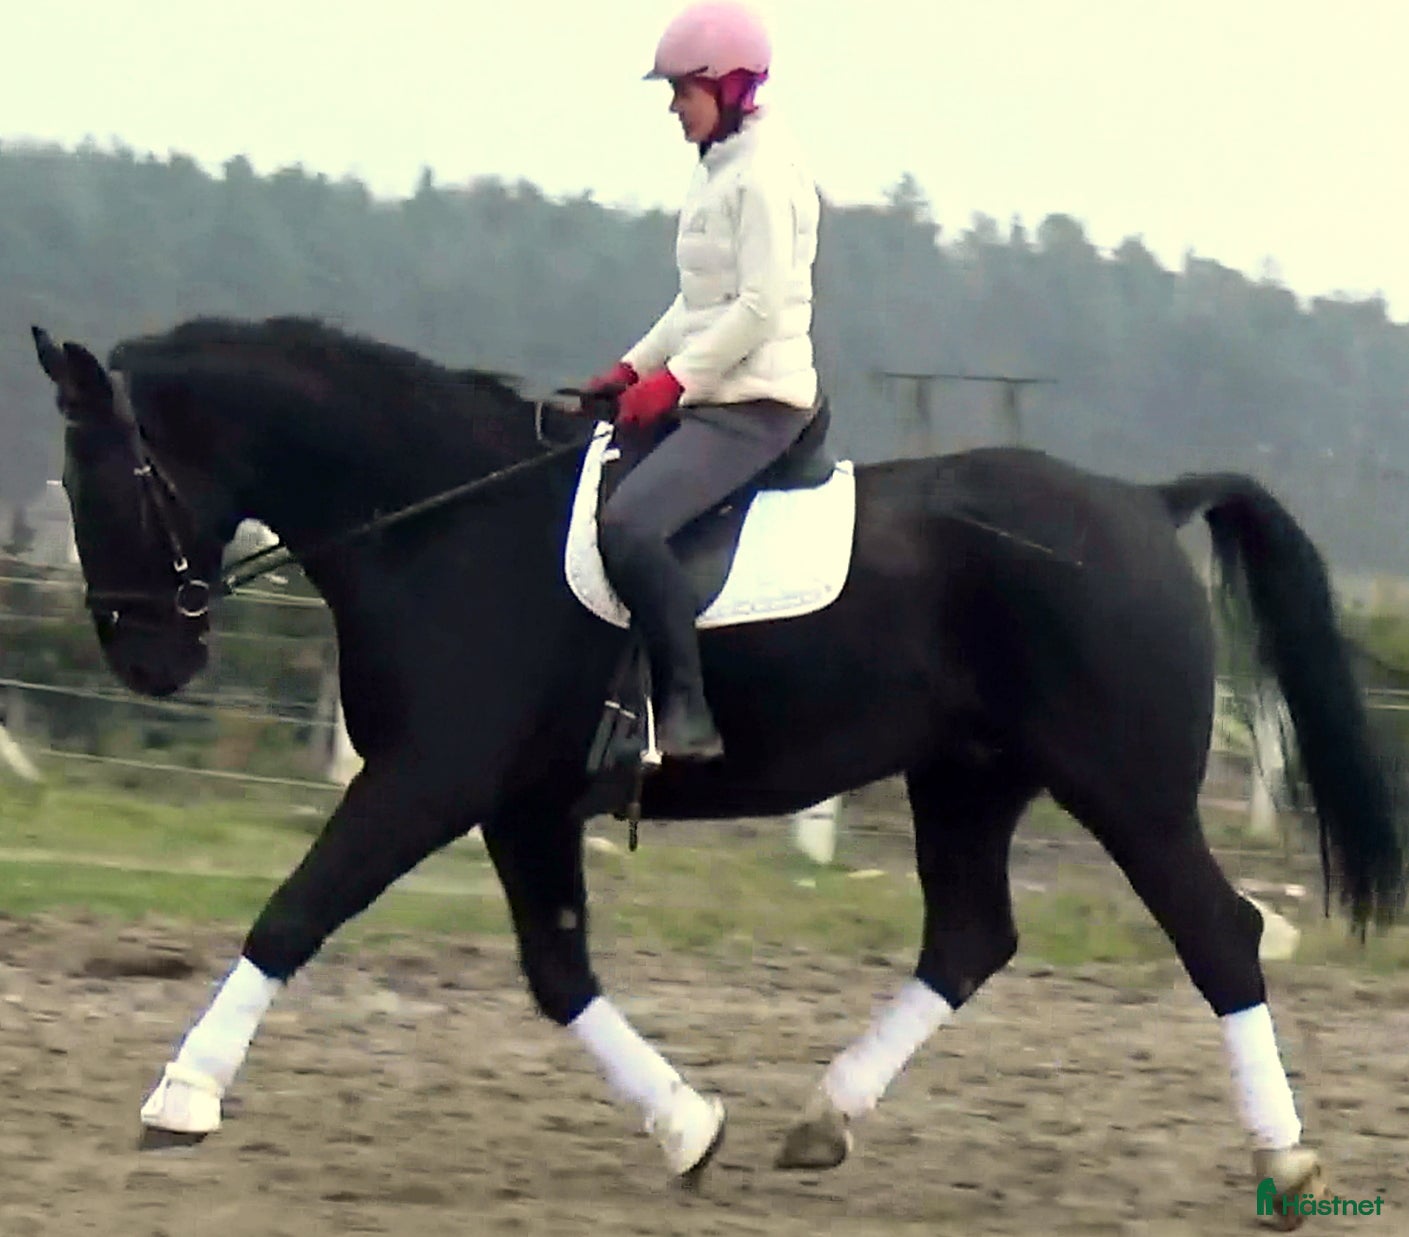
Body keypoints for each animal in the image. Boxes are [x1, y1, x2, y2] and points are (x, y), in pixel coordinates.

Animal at [30, 316, 1408, 1224]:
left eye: (109, 479)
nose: (148, 660)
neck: (441, 524)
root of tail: (1142, 501)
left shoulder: (430, 780)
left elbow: (292, 913)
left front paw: (180, 1098)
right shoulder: (520, 804)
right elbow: (558, 973)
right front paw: (690, 1128)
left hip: (1123, 787)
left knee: (1217, 935)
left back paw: (1285, 1164)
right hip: (966, 779)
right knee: (970, 936)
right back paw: (823, 1119)